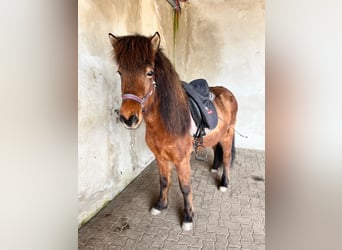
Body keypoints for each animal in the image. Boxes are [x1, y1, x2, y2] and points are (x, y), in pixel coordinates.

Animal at [108, 32, 236, 231]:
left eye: (150, 72)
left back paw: (224, 183)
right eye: (120, 72)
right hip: (218, 135)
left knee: (228, 159)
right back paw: (215, 168)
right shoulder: (160, 157)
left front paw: (188, 217)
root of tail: (228, 93)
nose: (128, 118)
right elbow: (163, 181)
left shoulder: (182, 160)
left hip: (228, 136)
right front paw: (160, 205)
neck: (165, 123)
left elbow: (185, 187)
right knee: (217, 150)